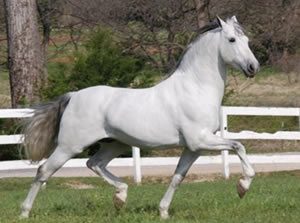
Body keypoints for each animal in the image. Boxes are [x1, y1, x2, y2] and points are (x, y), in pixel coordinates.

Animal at [21, 16, 260, 219]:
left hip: (114, 144)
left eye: (247, 40)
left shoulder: (194, 148)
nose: (253, 67)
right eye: (232, 39)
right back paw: (24, 212)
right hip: (69, 147)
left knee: (94, 163)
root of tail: (73, 96)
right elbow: (238, 145)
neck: (196, 88)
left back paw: (120, 197)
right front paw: (242, 187)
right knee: (44, 171)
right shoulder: (200, 140)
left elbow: (177, 177)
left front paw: (163, 212)